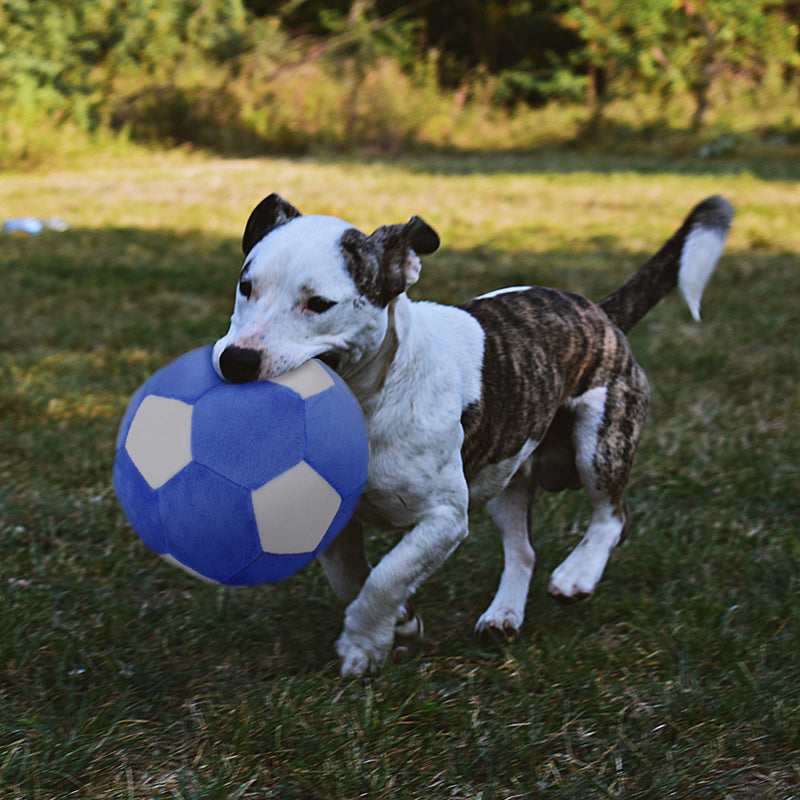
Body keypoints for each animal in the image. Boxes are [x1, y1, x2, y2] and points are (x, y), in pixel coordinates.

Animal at [211, 194, 732, 676]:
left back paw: (577, 576)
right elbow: (350, 578)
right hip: (508, 474)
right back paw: (504, 615)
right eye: (245, 286)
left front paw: (363, 645)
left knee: (613, 514)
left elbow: (387, 575)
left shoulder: (444, 518)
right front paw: (401, 622)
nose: (236, 360)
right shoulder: (333, 515)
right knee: (523, 549)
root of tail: (599, 313)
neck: (369, 399)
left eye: (319, 304)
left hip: (601, 439)